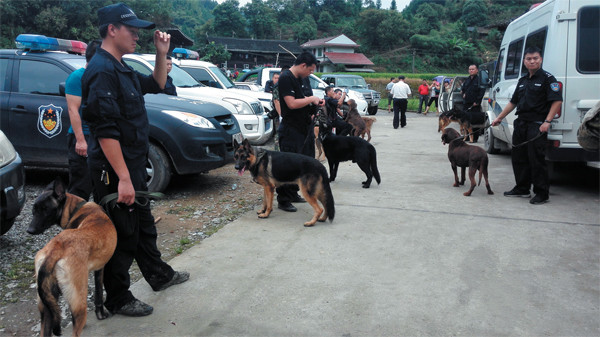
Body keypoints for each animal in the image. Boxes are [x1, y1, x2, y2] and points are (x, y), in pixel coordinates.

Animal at [26, 177, 118, 334]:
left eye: (45, 210)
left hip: (47, 305)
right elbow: (99, 294)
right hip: (79, 303)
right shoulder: (100, 269)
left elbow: (99, 295)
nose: (30, 230)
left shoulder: (99, 268)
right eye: (34, 210)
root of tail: (55, 250)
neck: (77, 208)